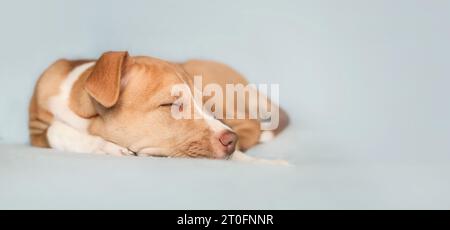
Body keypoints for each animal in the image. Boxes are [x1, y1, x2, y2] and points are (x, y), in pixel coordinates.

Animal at [29, 52, 288, 164]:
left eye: (202, 104)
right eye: (170, 105)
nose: (231, 141)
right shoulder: (36, 131)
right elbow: (54, 130)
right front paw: (104, 146)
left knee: (251, 125)